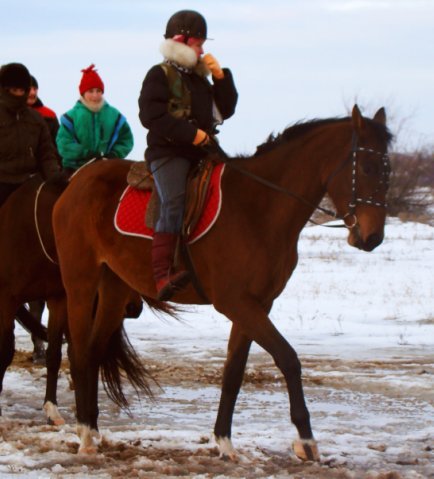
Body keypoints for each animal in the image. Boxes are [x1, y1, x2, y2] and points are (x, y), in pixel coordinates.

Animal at [0, 174, 149, 426]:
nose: (133, 307)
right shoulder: (6, 300)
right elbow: (4, 350)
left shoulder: (58, 299)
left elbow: (55, 355)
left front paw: (52, 409)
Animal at [52, 107, 392, 460]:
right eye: (366, 167)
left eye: (388, 170)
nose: (372, 238)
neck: (259, 209)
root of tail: (77, 182)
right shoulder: (235, 302)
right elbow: (288, 358)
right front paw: (306, 440)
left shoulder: (256, 305)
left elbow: (233, 372)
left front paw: (225, 442)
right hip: (80, 283)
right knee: (79, 352)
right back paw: (85, 434)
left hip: (114, 289)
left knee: (93, 351)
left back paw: (92, 428)